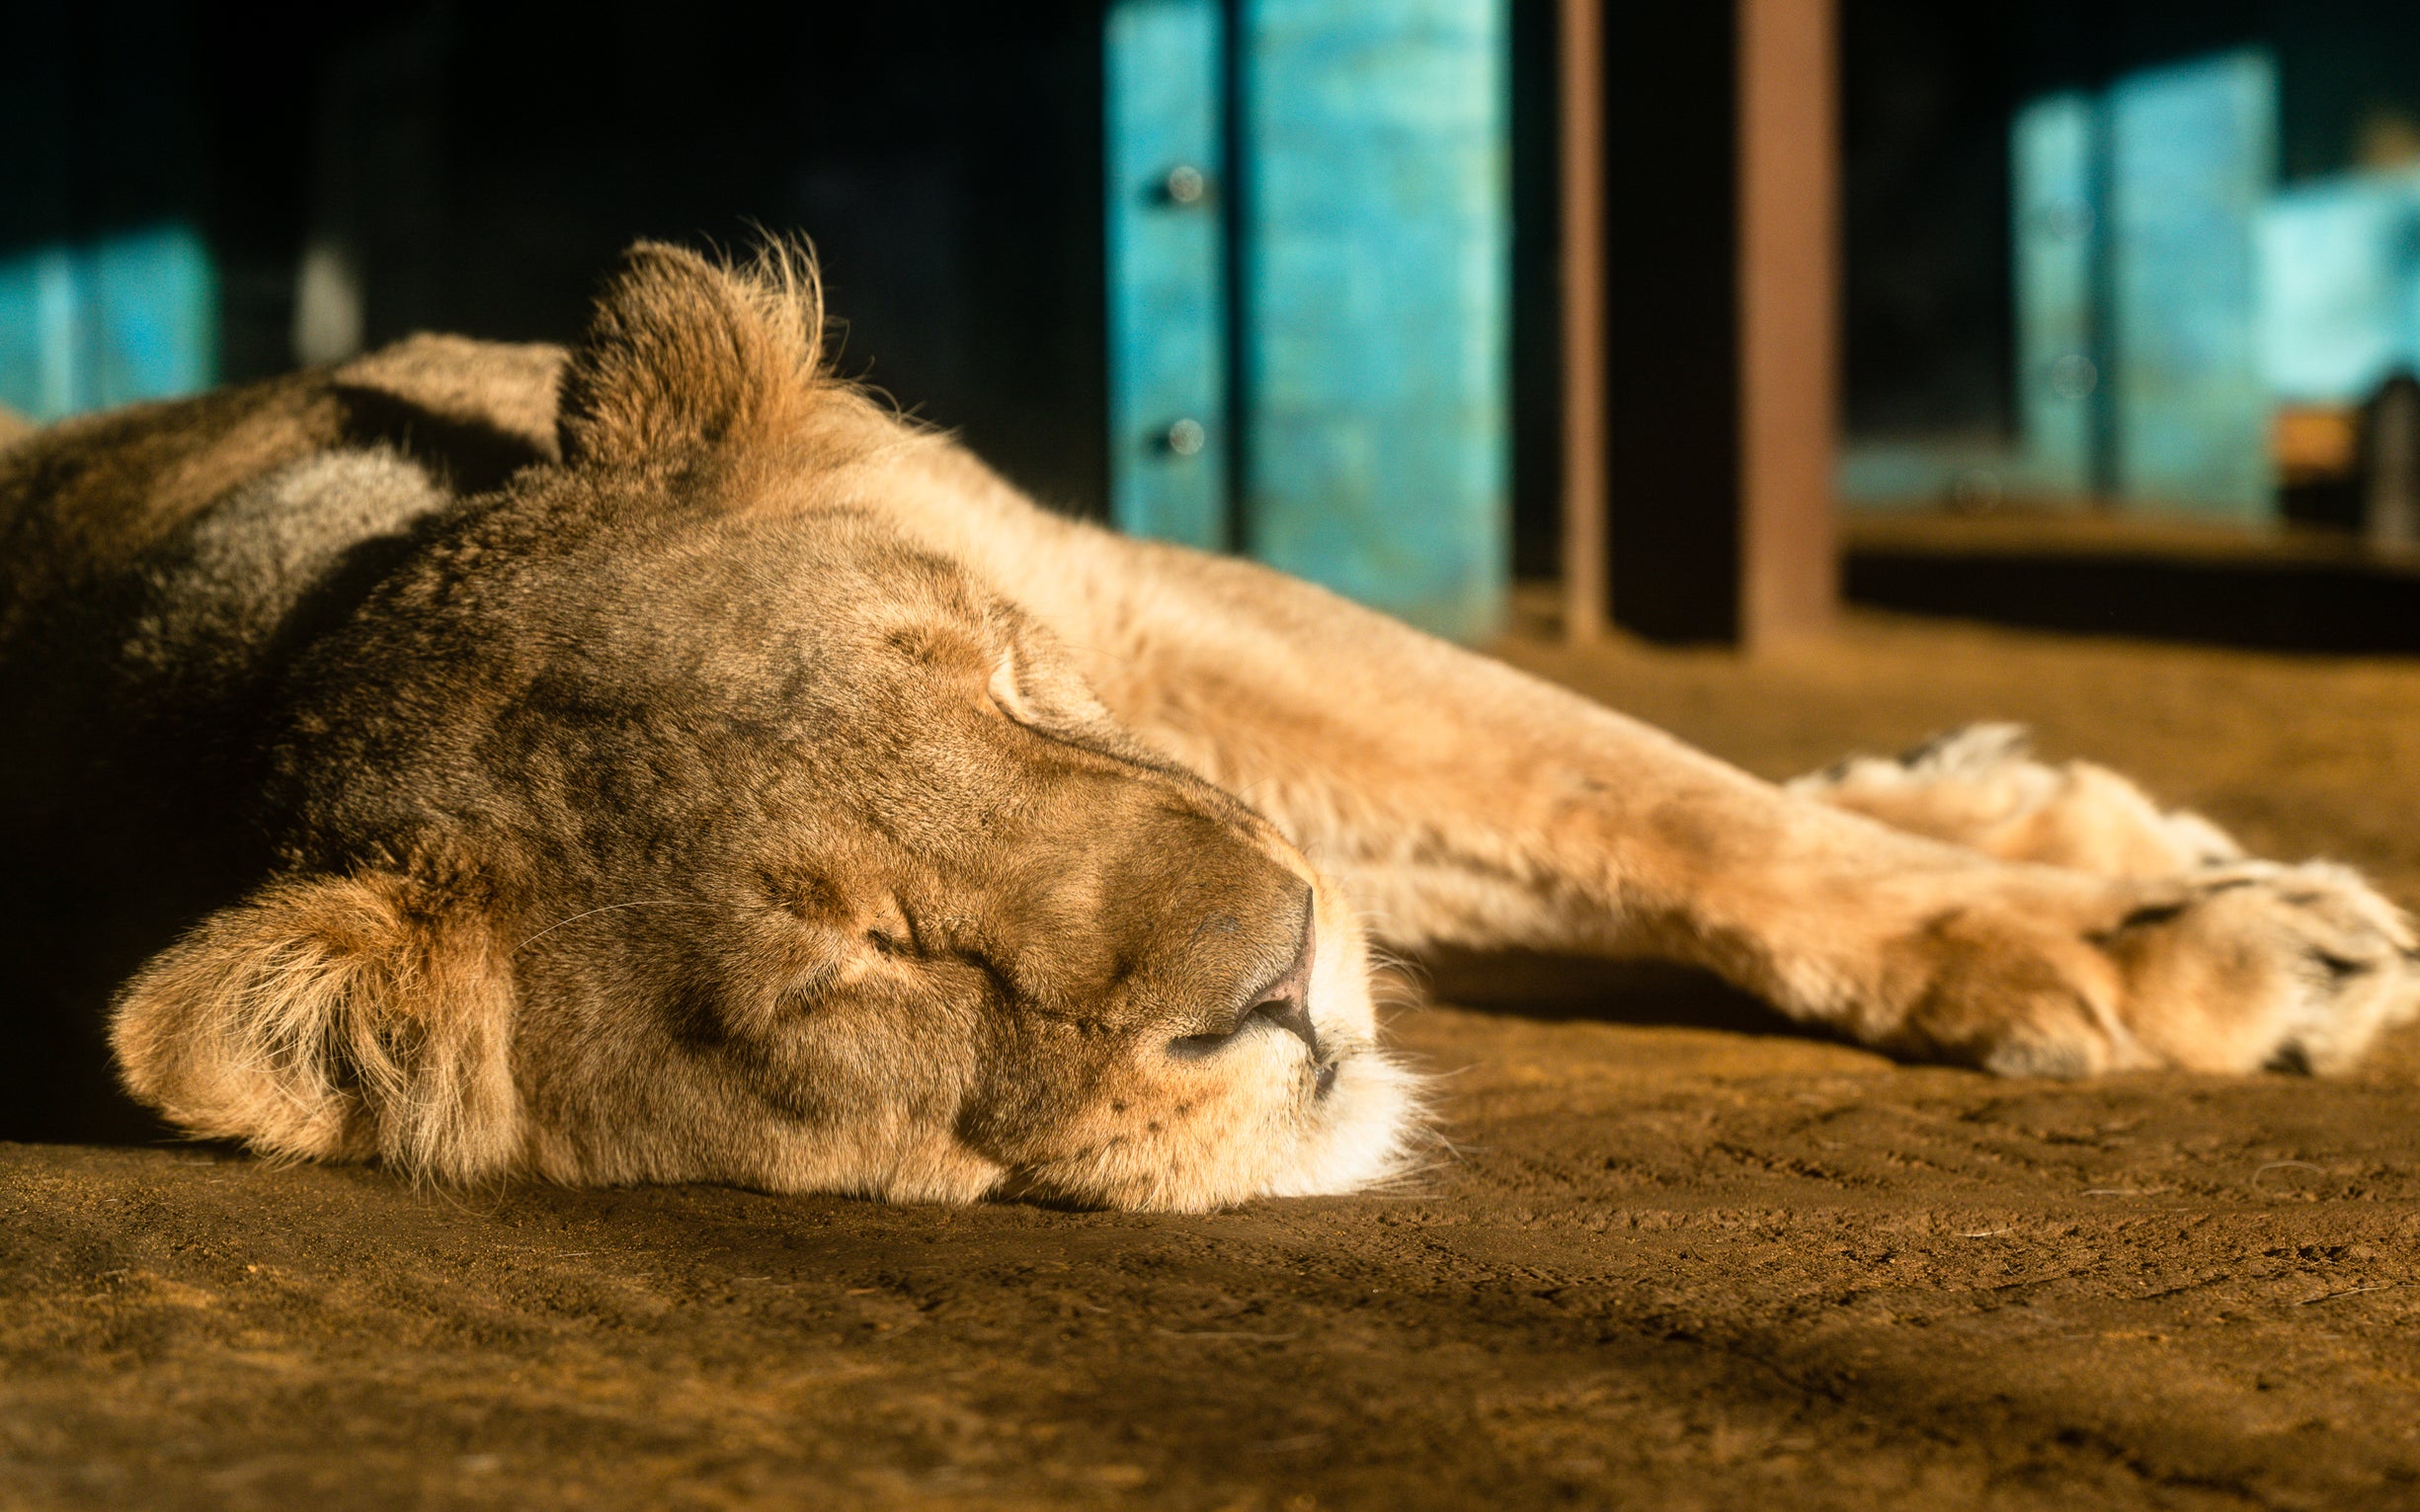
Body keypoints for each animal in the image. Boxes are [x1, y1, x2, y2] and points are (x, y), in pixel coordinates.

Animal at [1, 244, 2413, 1211]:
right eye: (868, 959)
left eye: (1003, 685)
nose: (1284, 983)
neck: (293, 631)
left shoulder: (1153, 613)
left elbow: (1659, 807)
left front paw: (2168, 949)